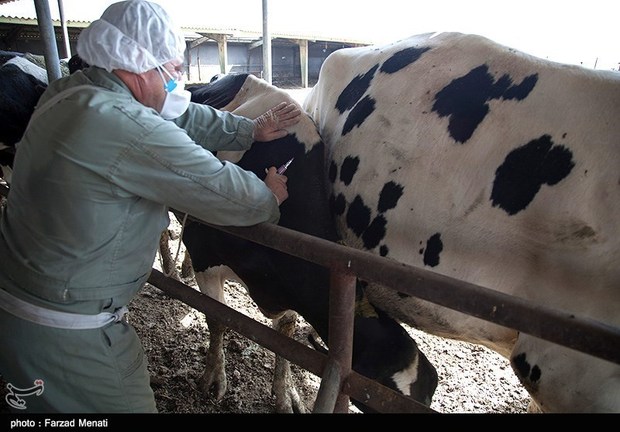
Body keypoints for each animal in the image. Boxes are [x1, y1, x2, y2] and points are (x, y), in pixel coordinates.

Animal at [182, 73, 438, 412]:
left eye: (429, 396)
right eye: (382, 399)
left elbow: (287, 336)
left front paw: (284, 393)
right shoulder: (204, 255)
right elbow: (217, 319)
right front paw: (214, 378)